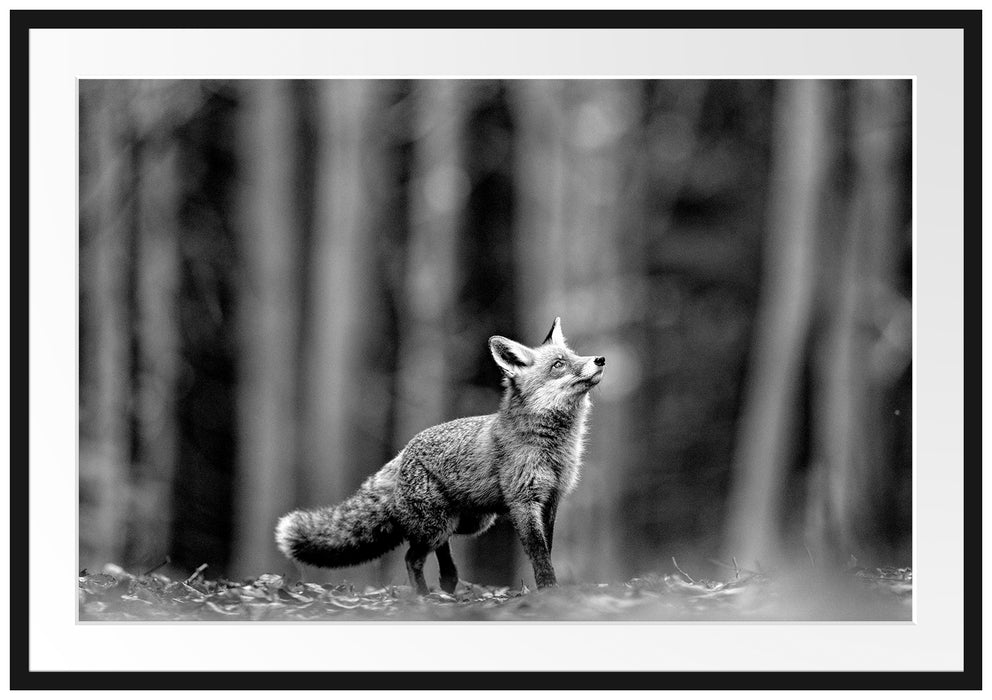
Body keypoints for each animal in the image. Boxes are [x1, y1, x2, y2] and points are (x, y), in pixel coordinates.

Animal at [276, 318, 608, 596]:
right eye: (558, 364)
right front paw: (549, 591)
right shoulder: (524, 501)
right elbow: (539, 553)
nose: (600, 359)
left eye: (574, 355)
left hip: (468, 522)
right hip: (437, 524)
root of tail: (403, 451)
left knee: (439, 549)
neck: (552, 448)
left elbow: (547, 548)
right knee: (412, 557)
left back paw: (448, 583)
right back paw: (423, 597)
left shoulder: (551, 498)